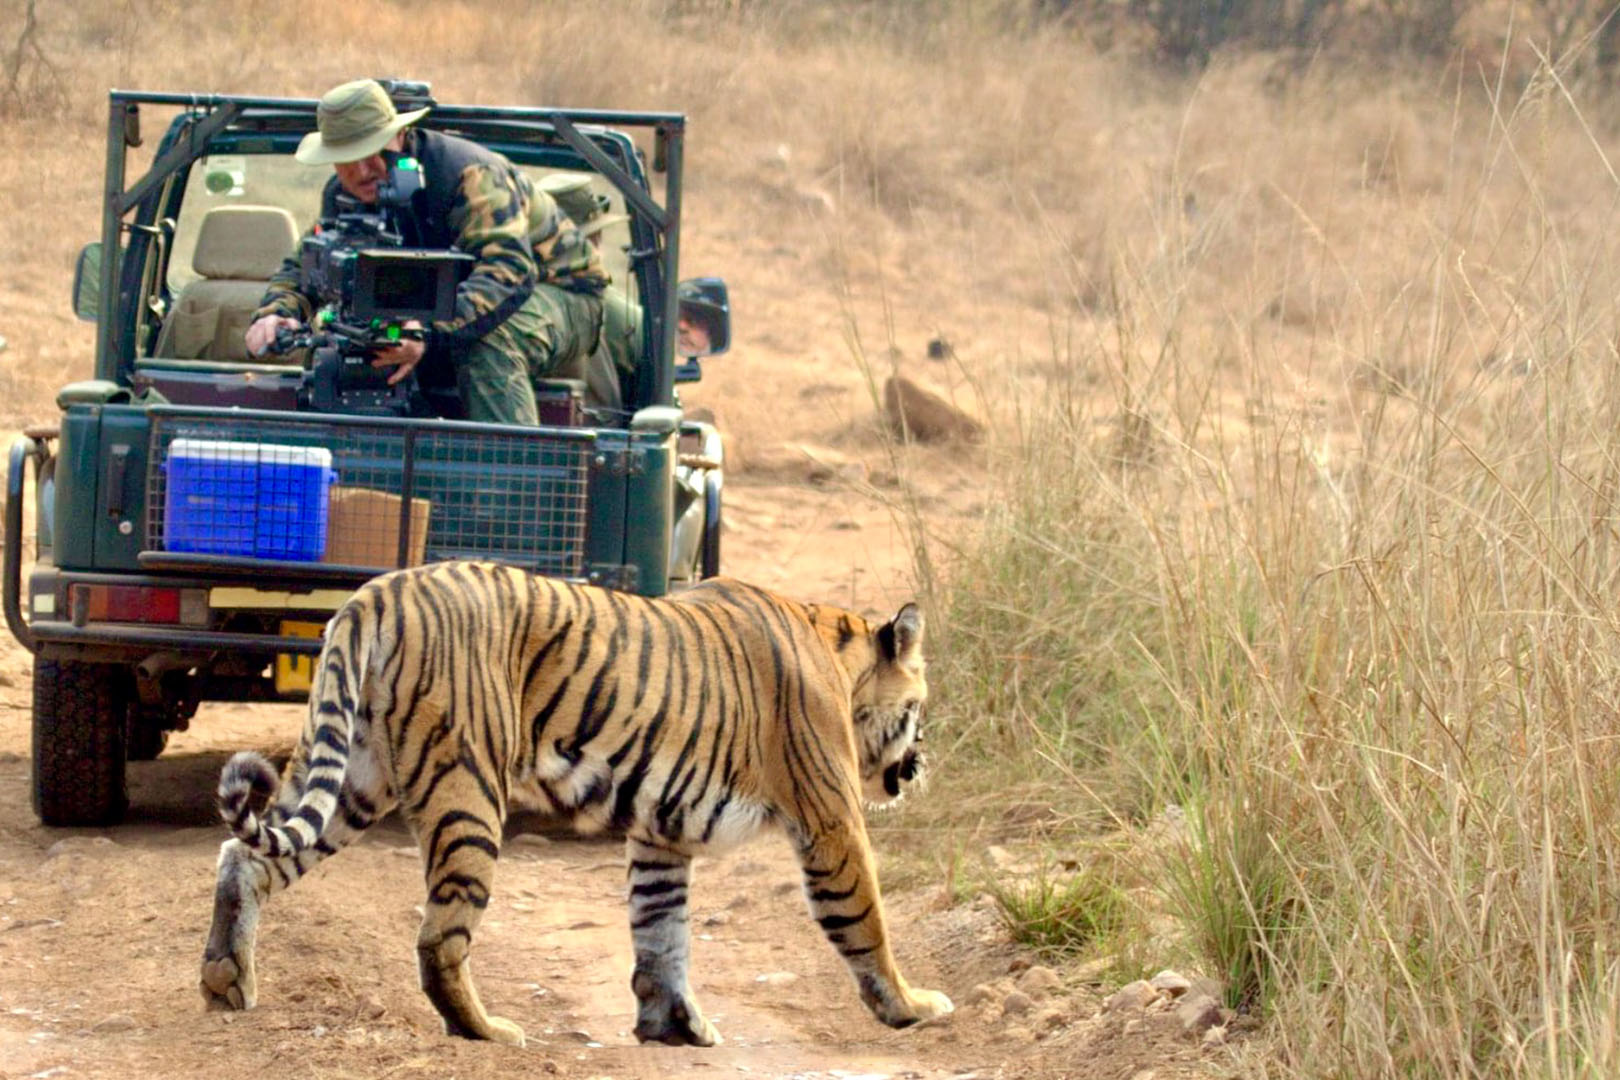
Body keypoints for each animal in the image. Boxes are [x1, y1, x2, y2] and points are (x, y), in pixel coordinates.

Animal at [199, 562, 952, 1047]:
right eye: (919, 707)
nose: (922, 763)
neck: (841, 656)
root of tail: (374, 596)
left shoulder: (661, 831)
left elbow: (661, 929)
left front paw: (674, 1025)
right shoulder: (830, 819)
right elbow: (866, 920)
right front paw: (910, 1005)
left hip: (353, 776)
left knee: (244, 853)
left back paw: (224, 981)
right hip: (466, 792)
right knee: (439, 937)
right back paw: (487, 1031)